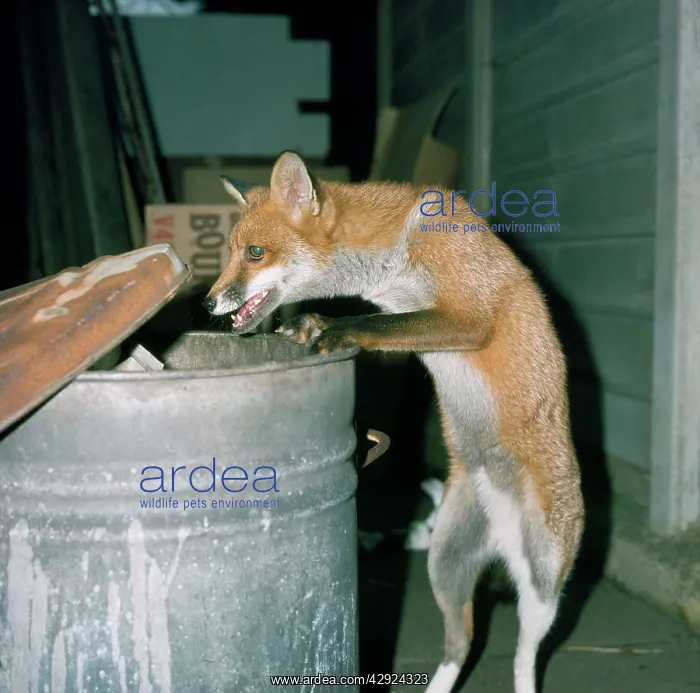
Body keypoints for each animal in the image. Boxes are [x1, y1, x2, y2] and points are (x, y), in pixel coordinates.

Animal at [202, 151, 584, 693]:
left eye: (254, 253)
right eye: (234, 251)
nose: (208, 303)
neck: (394, 253)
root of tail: (500, 540)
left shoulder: (467, 315)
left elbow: (376, 325)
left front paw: (332, 331)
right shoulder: (405, 316)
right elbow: (383, 327)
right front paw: (310, 326)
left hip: (543, 584)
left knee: (524, 656)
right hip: (444, 566)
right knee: (461, 644)